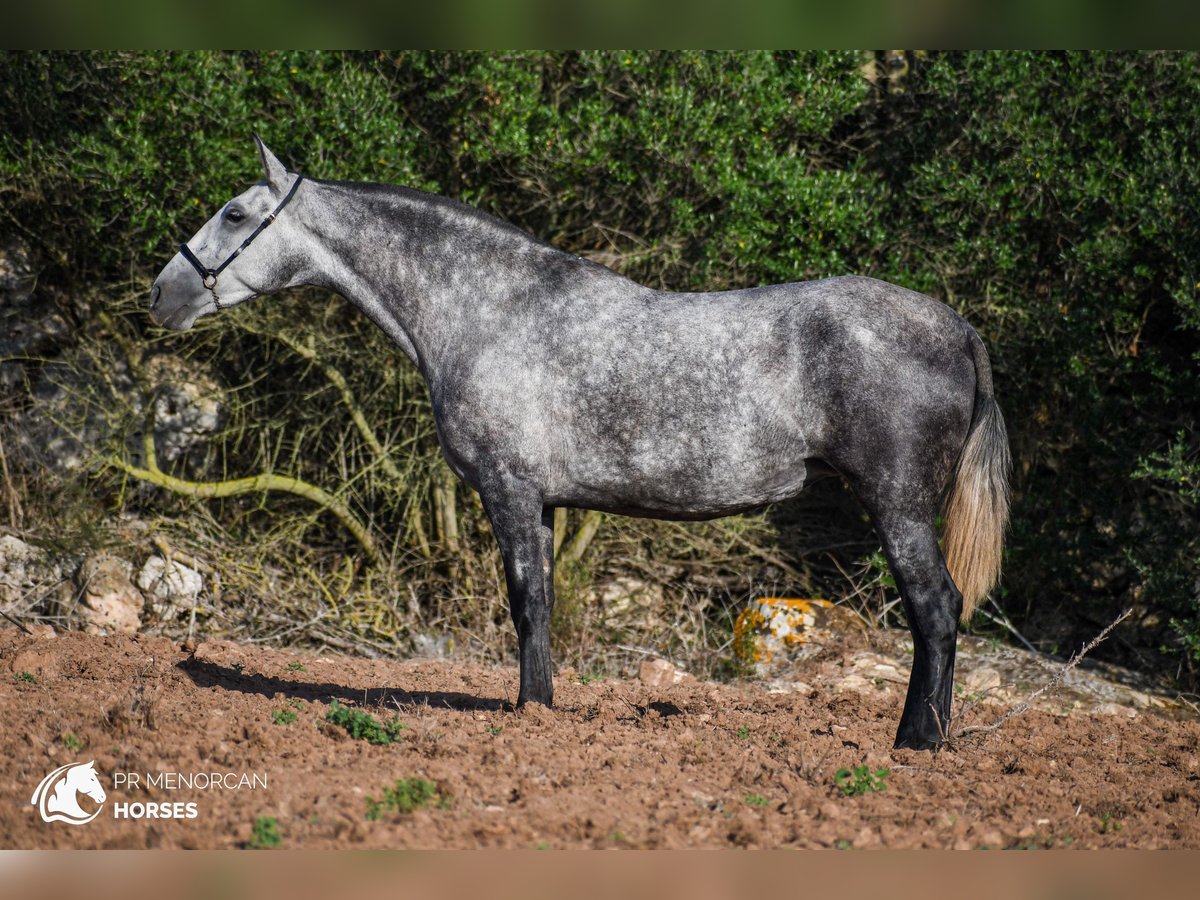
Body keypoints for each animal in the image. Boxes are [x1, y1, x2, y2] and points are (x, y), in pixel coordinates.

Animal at [152, 137, 1012, 748]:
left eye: (235, 214)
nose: (162, 293)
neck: (491, 311)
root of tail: (958, 329)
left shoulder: (508, 489)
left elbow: (527, 601)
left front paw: (529, 711)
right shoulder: (541, 500)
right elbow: (540, 604)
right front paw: (543, 705)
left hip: (897, 506)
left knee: (937, 611)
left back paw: (917, 742)